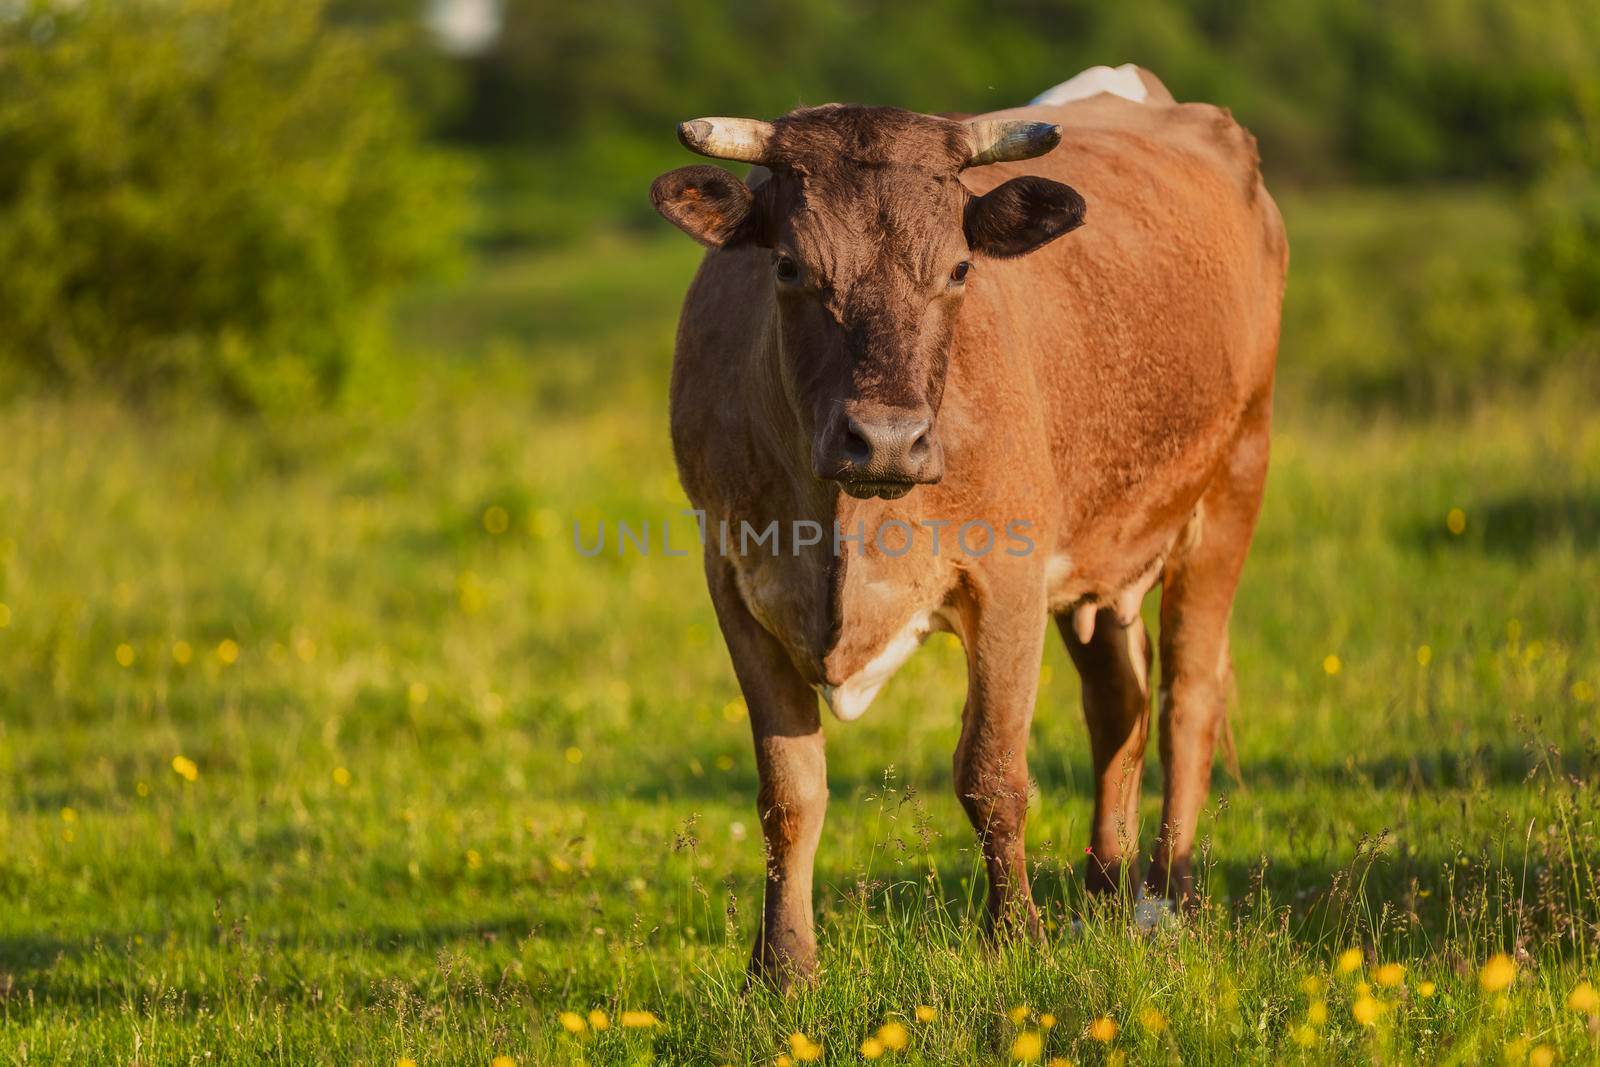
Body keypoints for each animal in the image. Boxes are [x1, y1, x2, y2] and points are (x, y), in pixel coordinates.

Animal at [649, 64, 1286, 985]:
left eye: (956, 269)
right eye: (790, 266)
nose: (886, 437)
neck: (841, 520)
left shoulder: (1009, 577)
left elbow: (991, 772)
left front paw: (1015, 937)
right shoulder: (735, 579)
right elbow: (788, 789)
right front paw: (782, 966)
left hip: (1234, 475)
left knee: (1187, 697)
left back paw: (1168, 898)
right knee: (1119, 704)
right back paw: (1104, 893)